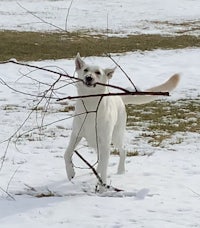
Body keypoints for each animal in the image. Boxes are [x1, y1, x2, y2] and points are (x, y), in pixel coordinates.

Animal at [65, 53, 180, 189]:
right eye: (85, 70)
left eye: (98, 72)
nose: (88, 78)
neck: (91, 104)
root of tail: (118, 97)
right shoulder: (76, 134)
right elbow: (67, 153)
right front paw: (70, 173)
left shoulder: (105, 141)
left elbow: (104, 166)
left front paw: (102, 185)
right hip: (97, 141)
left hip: (116, 135)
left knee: (122, 150)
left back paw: (120, 170)